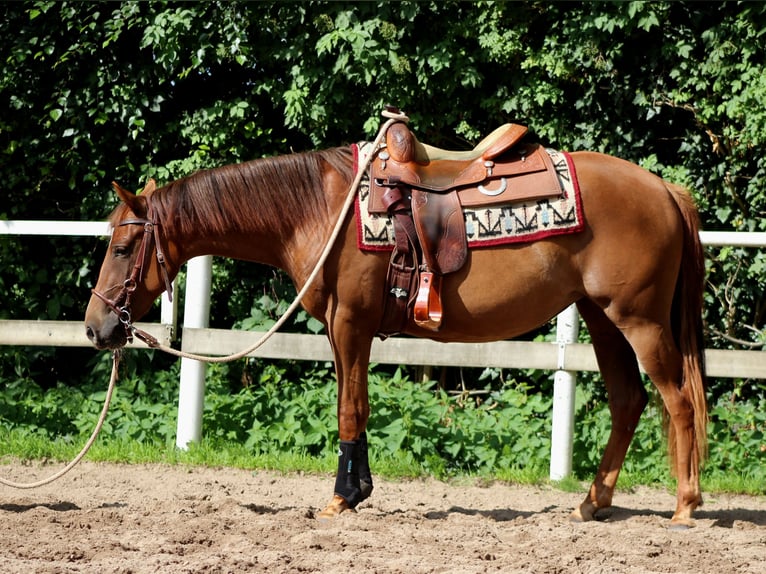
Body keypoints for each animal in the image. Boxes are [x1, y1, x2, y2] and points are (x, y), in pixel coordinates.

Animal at [84, 131, 707, 528]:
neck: (320, 209)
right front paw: (357, 491)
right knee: (629, 402)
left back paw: (684, 505)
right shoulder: (341, 330)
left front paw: (340, 499)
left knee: (677, 400)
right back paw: (594, 502)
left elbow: (350, 409)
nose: (95, 327)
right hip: (604, 320)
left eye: (122, 248)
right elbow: (353, 404)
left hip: (639, 321)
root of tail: (664, 189)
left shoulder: (351, 322)